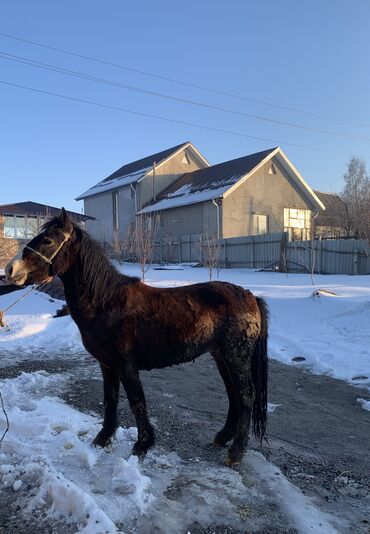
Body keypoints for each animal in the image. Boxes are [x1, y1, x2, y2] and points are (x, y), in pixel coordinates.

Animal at [6, 209, 268, 468]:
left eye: (48, 241)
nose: (10, 270)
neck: (107, 303)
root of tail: (250, 296)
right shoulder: (107, 365)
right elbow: (110, 400)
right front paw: (102, 439)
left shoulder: (126, 366)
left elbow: (136, 401)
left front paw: (142, 445)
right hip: (220, 355)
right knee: (233, 395)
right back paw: (222, 437)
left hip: (236, 356)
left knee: (246, 396)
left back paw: (236, 452)